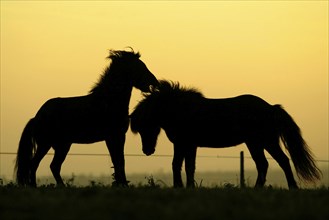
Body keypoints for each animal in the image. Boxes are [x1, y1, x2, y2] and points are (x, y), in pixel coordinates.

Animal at [15, 49, 158, 186]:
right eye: (139, 66)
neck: (108, 102)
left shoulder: (116, 137)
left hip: (62, 145)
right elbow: (119, 161)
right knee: (34, 164)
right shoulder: (114, 136)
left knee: (54, 166)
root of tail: (36, 117)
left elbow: (118, 161)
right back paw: (34, 186)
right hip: (46, 144)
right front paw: (122, 184)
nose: (154, 82)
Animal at [131, 81, 320, 189]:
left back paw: (290, 187)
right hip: (256, 143)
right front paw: (189, 187)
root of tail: (271, 108)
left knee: (280, 162)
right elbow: (189, 166)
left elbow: (177, 165)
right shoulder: (190, 145)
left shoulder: (183, 144)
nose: (147, 150)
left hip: (265, 141)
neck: (181, 109)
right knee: (266, 164)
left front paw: (179, 187)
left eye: (145, 126)